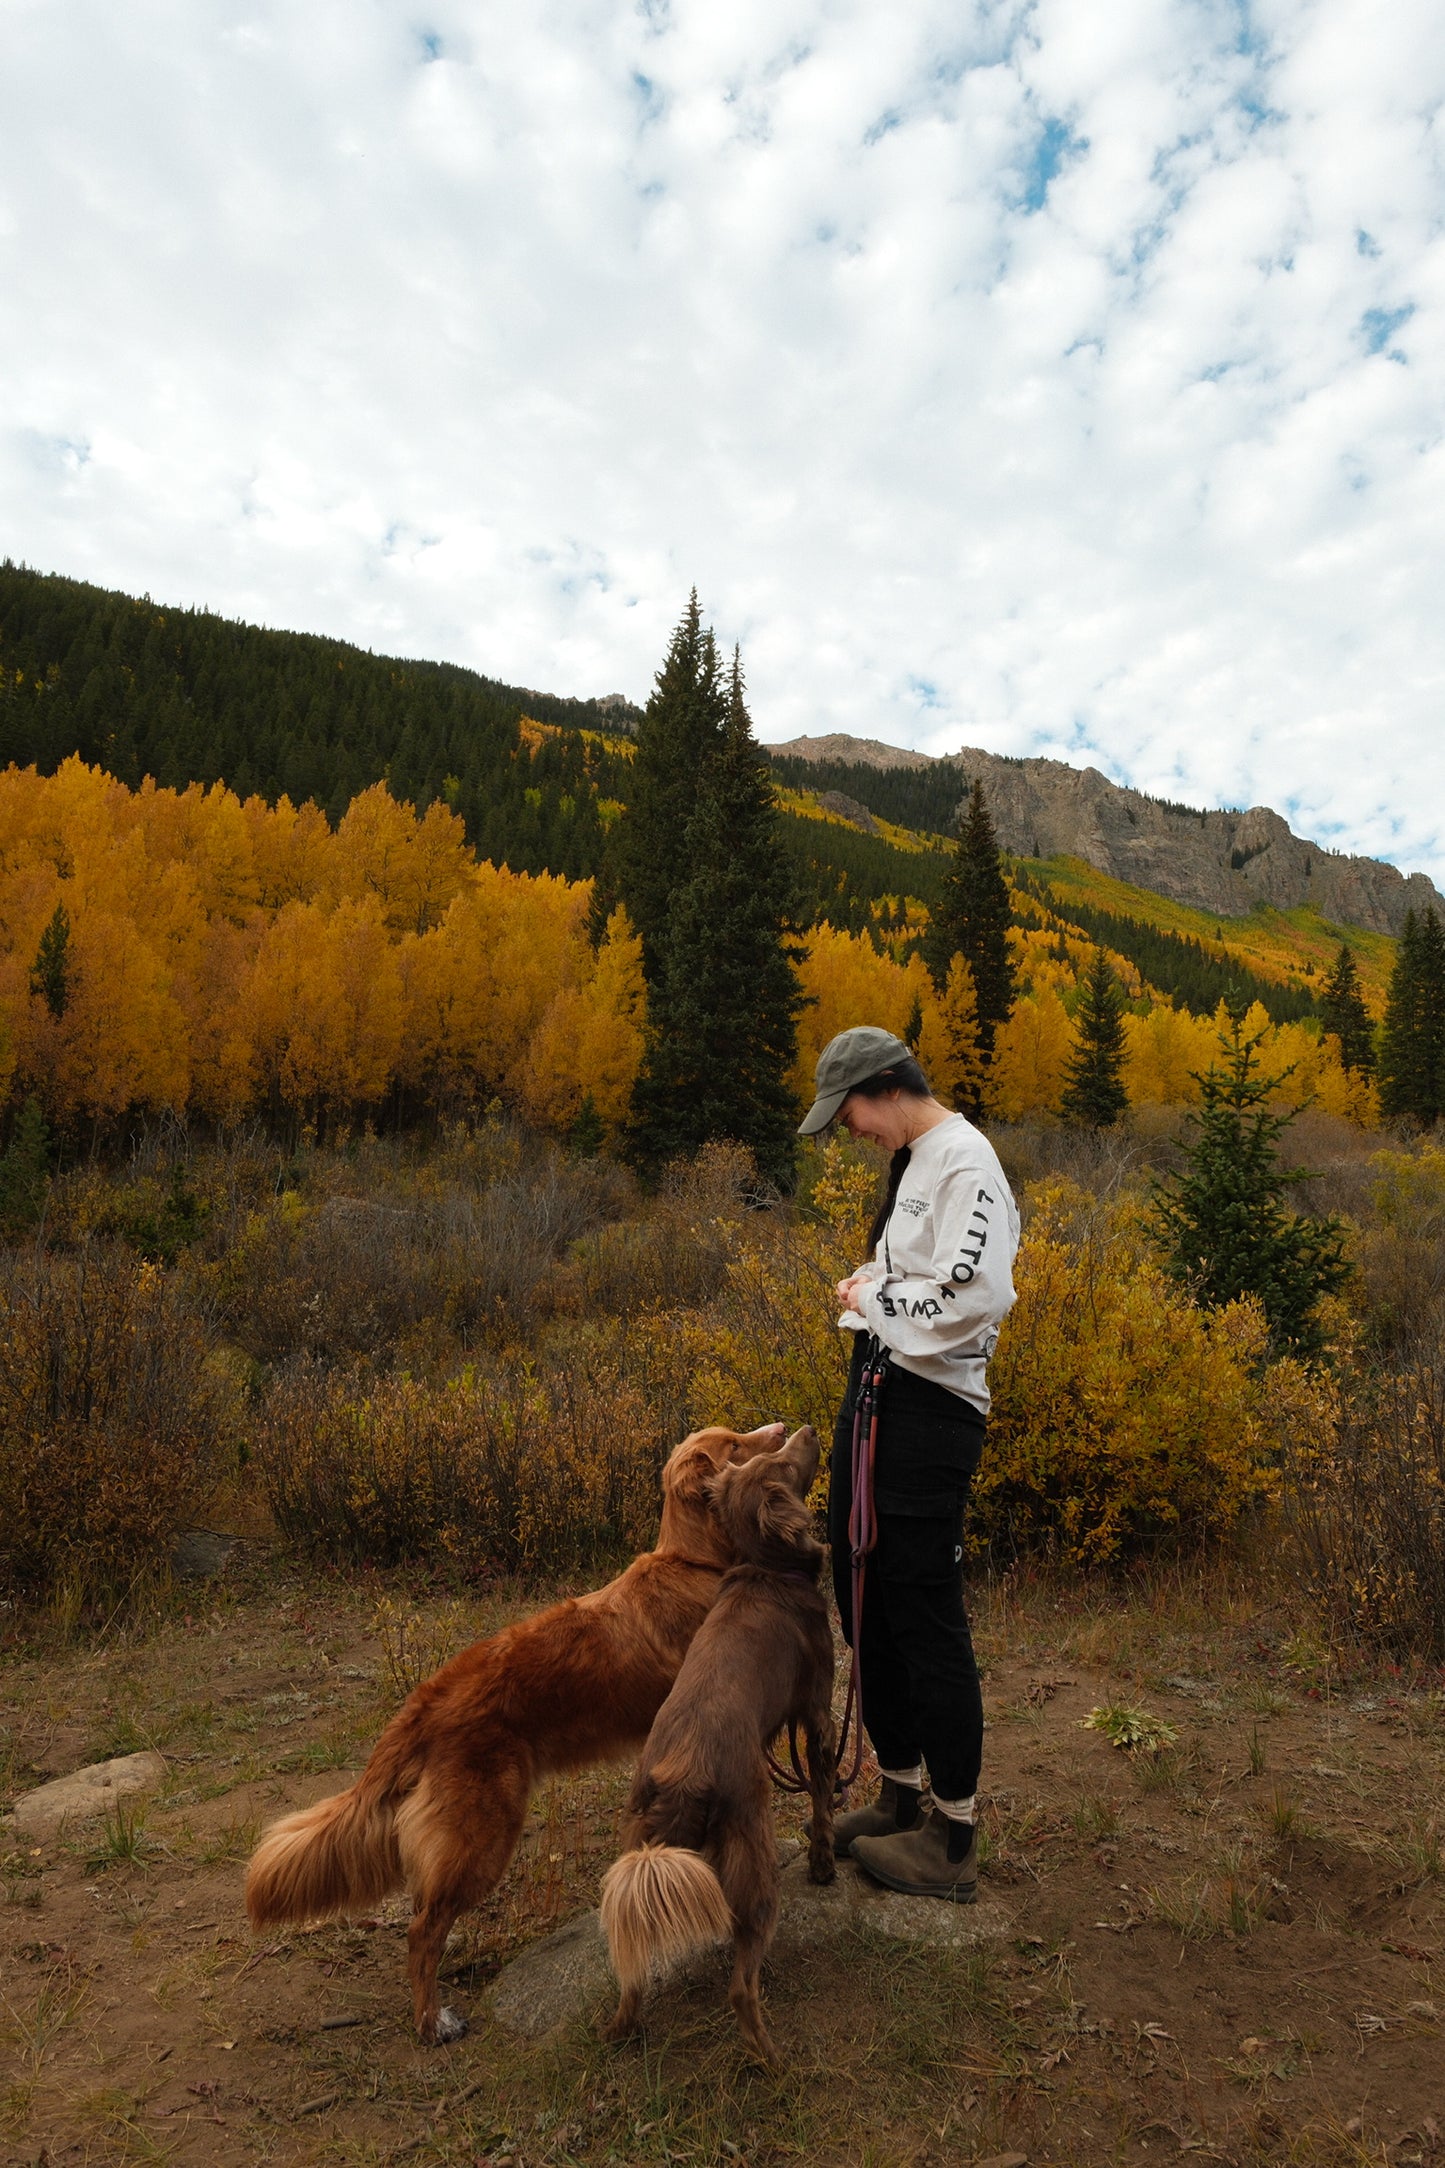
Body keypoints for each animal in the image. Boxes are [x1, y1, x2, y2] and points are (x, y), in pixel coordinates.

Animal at [244, 1413, 797, 2037]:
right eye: (735, 1447)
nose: (780, 1426)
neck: (694, 1560)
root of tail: (425, 1701)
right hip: (483, 1835)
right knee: (421, 1931)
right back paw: (433, 2022)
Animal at [597, 1422, 836, 2063]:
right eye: (784, 1465)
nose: (806, 1428)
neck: (768, 1567)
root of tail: (681, 1772)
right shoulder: (819, 1712)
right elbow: (823, 1799)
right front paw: (826, 1864)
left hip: (635, 1871)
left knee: (631, 1975)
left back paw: (625, 2030)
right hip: (753, 1860)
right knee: (741, 1986)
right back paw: (773, 2061)